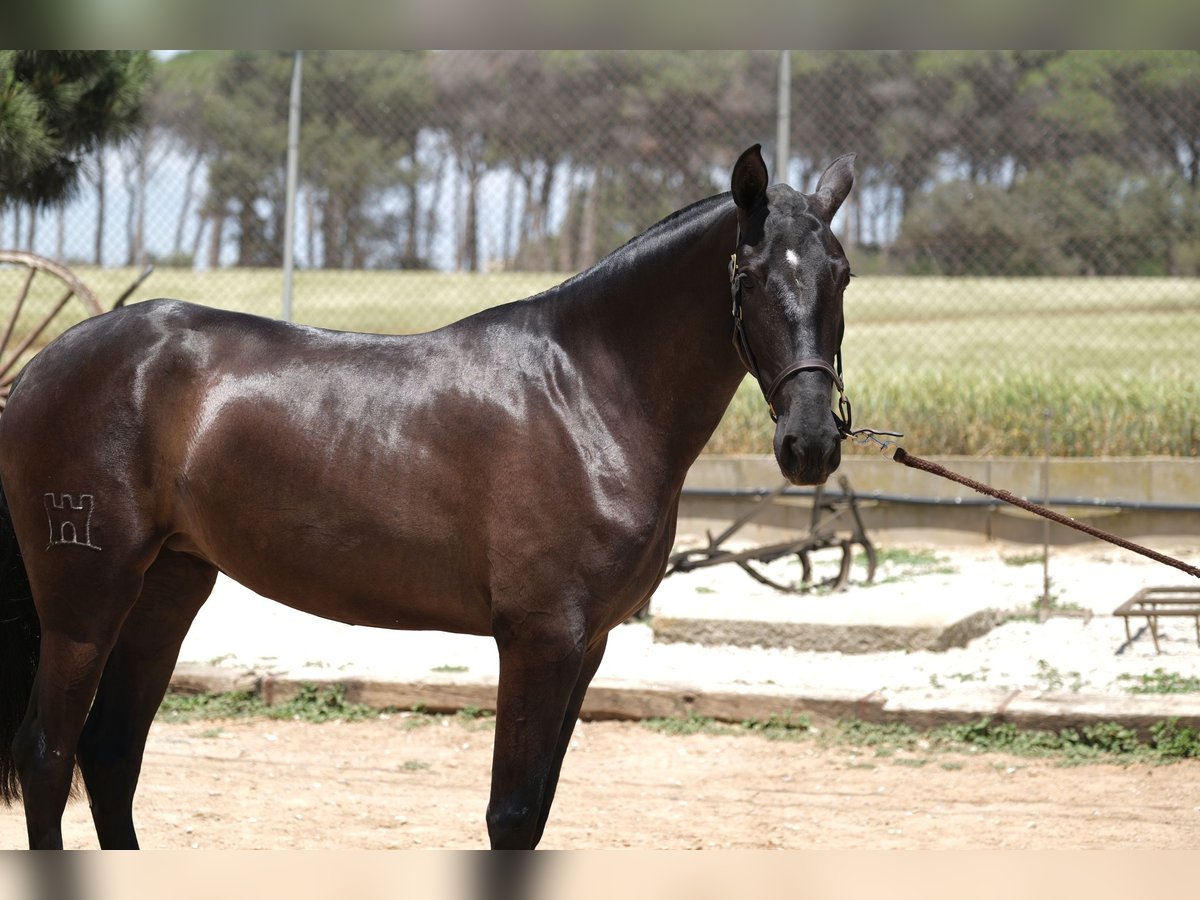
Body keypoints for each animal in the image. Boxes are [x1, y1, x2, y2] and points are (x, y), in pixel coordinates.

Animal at [0, 144, 854, 849]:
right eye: (750, 275)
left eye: (840, 274)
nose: (810, 443)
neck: (586, 392)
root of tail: (41, 367)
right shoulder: (540, 639)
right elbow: (512, 815)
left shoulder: (589, 646)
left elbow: (538, 812)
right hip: (84, 605)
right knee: (48, 758)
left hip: (168, 589)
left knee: (110, 756)